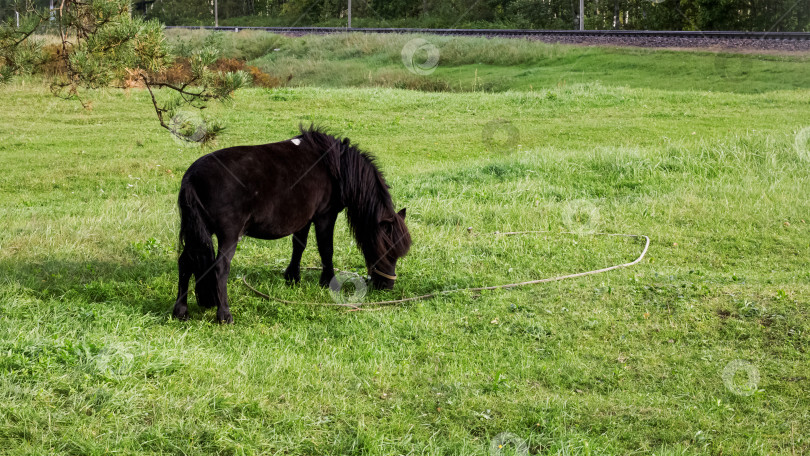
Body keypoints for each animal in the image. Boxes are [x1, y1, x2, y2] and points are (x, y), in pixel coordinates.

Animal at [172, 126, 410, 322]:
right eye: (388, 250)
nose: (387, 286)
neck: (334, 165)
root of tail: (192, 176)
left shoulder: (303, 218)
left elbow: (299, 246)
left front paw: (292, 277)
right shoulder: (325, 215)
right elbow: (326, 249)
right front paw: (328, 281)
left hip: (197, 233)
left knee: (185, 262)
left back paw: (180, 311)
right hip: (228, 235)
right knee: (220, 268)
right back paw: (224, 314)